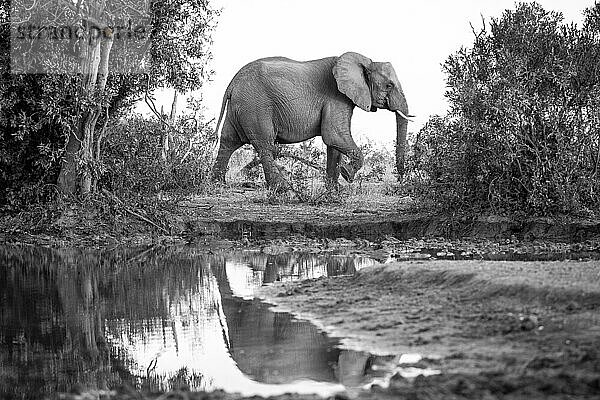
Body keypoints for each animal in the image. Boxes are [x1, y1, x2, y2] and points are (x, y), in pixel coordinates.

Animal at [209, 51, 410, 189]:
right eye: (389, 85)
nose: (400, 180)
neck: (364, 61)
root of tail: (233, 82)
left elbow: (333, 144)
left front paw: (334, 189)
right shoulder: (336, 97)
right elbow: (333, 135)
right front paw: (347, 175)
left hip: (240, 107)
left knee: (228, 141)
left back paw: (218, 183)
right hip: (256, 106)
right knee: (265, 145)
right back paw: (282, 189)